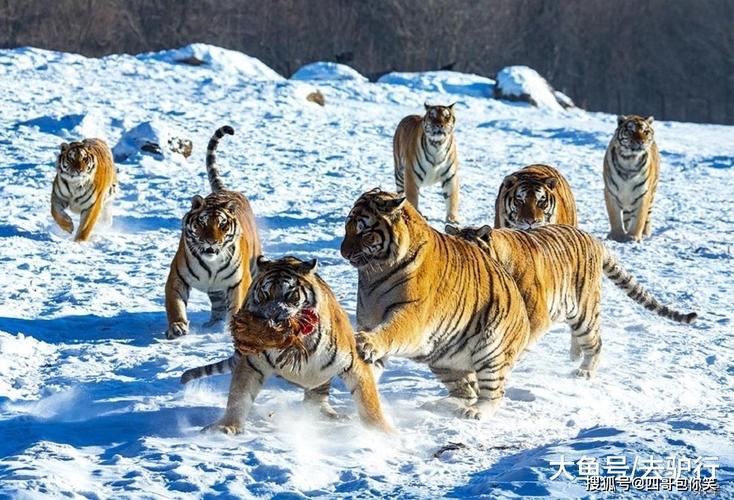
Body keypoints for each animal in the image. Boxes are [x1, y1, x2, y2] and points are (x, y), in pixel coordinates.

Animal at [164, 125, 261, 339]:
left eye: (222, 225)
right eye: (202, 222)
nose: (211, 242)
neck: (211, 265)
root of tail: (227, 190)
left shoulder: (239, 282)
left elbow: (237, 305)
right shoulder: (177, 278)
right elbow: (175, 305)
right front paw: (177, 327)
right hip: (215, 290)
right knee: (217, 306)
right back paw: (213, 324)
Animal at [188, 255, 392, 434]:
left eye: (291, 295)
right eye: (264, 294)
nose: (273, 317)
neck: (296, 343)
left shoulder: (354, 362)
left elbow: (368, 401)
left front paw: (384, 433)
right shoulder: (251, 363)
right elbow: (239, 395)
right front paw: (226, 427)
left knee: (316, 400)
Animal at [339, 188, 531, 420]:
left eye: (363, 232)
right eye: (347, 228)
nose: (343, 253)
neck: (374, 273)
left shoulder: (412, 314)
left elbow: (390, 331)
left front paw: (366, 343)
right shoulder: (368, 320)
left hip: (492, 351)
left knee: (493, 394)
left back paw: (474, 411)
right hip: (443, 359)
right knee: (466, 390)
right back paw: (440, 405)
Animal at [445, 223, 697, 378]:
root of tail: (594, 239)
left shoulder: (534, 316)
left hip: (585, 308)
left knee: (595, 342)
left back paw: (585, 371)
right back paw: (575, 355)